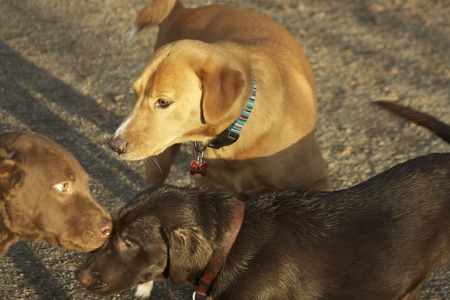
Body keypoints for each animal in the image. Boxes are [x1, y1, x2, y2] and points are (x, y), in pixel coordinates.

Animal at [107, 0, 328, 197]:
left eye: (163, 102)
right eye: (135, 94)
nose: (114, 145)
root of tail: (182, 11)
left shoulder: (316, 182)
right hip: (160, 157)